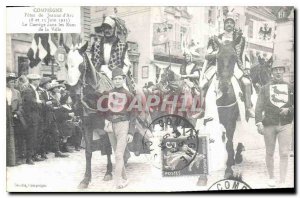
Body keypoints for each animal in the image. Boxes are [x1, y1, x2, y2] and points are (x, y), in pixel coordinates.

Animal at [63, 42, 113, 189]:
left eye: (81, 66)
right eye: (66, 65)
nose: (73, 93)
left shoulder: (106, 125)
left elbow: (108, 146)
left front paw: (109, 172)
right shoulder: (87, 125)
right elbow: (88, 152)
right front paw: (86, 179)